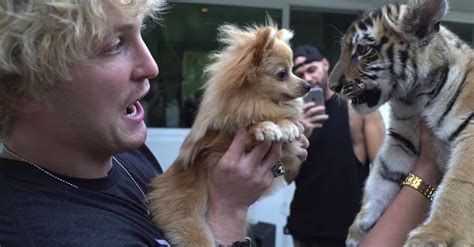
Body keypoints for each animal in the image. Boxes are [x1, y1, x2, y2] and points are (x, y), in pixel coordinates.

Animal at [149, 22, 312, 245]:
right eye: (282, 73)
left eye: (294, 70)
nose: (308, 85)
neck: (254, 102)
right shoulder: (218, 144)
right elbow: (244, 129)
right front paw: (263, 127)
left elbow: (288, 121)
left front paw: (288, 126)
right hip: (191, 223)